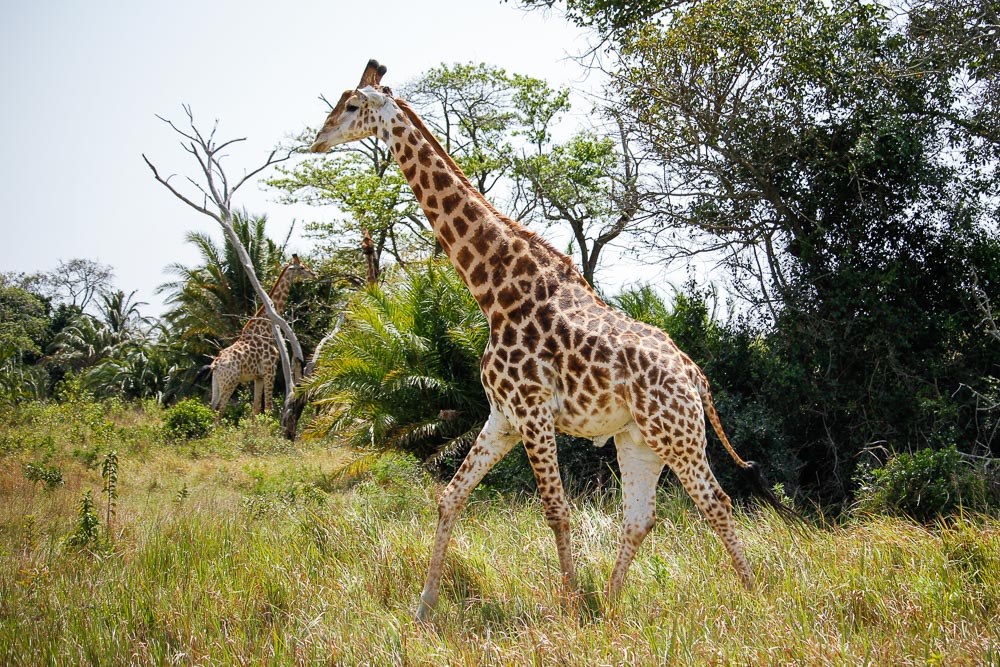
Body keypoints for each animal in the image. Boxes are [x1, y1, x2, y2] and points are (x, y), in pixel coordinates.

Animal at [210, 255, 315, 420]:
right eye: (303, 267)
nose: (314, 274)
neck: (266, 330)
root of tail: (215, 365)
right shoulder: (269, 369)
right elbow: (269, 407)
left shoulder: (258, 376)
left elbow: (256, 409)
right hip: (230, 381)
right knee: (220, 411)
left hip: (217, 382)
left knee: (212, 407)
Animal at [311, 60, 796, 620]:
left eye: (351, 105)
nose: (317, 139)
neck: (495, 292)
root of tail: (695, 375)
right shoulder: (503, 415)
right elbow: (450, 496)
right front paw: (424, 608)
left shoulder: (534, 410)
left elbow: (556, 510)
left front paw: (568, 606)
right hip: (639, 440)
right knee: (641, 516)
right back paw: (610, 607)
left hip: (679, 433)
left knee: (716, 502)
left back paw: (752, 596)